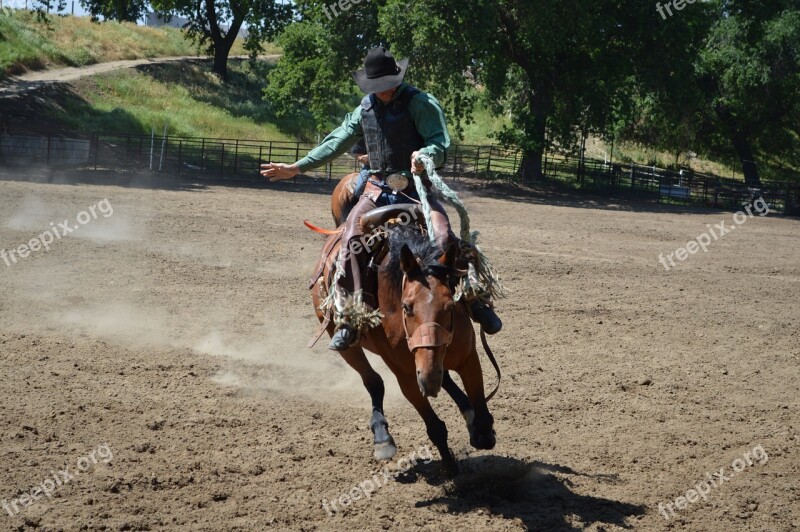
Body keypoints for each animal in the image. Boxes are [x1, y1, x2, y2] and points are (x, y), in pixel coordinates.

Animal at [310, 181, 496, 476]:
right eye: (406, 307)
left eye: (451, 306)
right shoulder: (405, 375)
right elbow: (434, 427)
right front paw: (450, 467)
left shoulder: (467, 357)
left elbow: (477, 401)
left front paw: (481, 429)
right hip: (343, 343)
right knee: (373, 381)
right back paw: (382, 438)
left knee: (441, 377)